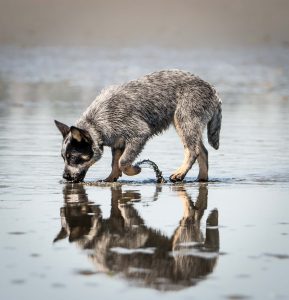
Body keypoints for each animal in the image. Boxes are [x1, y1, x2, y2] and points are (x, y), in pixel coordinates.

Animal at [54, 69, 220, 183]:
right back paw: (202, 179)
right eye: (63, 158)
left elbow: (122, 162)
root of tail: (212, 88)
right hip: (190, 125)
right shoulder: (117, 142)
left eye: (73, 158)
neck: (97, 121)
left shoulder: (139, 134)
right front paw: (110, 179)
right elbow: (115, 163)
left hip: (184, 121)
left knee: (192, 151)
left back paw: (180, 173)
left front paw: (135, 170)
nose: (65, 176)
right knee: (203, 151)